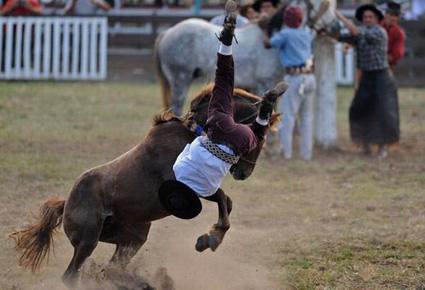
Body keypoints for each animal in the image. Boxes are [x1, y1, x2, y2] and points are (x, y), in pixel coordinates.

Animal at [9, 84, 280, 288]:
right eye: (260, 136)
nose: (244, 173)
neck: (192, 133)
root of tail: (66, 203)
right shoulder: (187, 189)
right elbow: (223, 199)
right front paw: (210, 239)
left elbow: (227, 201)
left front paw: (209, 238)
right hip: (88, 240)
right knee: (72, 275)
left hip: (132, 239)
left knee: (111, 269)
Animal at [154, 0, 336, 115]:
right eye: (323, 5)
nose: (337, 28)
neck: (272, 43)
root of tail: (167, 32)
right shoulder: (264, 84)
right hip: (180, 80)